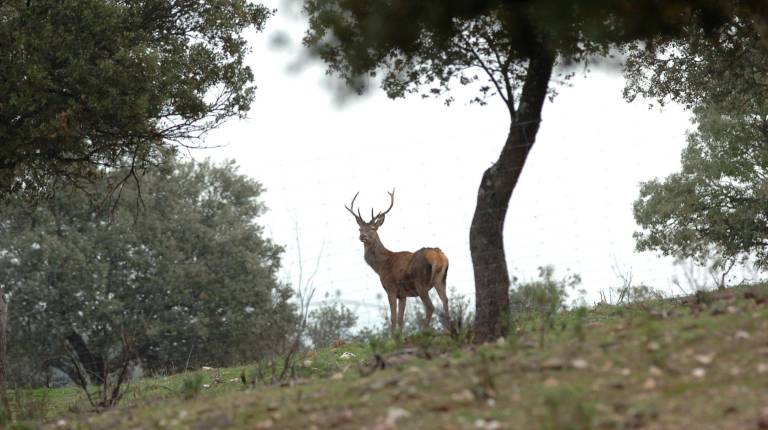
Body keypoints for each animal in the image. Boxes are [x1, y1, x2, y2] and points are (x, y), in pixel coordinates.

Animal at [345, 189, 450, 334]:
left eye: (373, 228)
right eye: (360, 229)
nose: (362, 236)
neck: (381, 266)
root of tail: (439, 257)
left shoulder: (391, 288)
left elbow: (393, 317)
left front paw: (392, 336)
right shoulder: (403, 295)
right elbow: (401, 319)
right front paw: (399, 335)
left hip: (420, 282)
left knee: (430, 306)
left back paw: (424, 332)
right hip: (441, 279)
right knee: (446, 301)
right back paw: (450, 330)